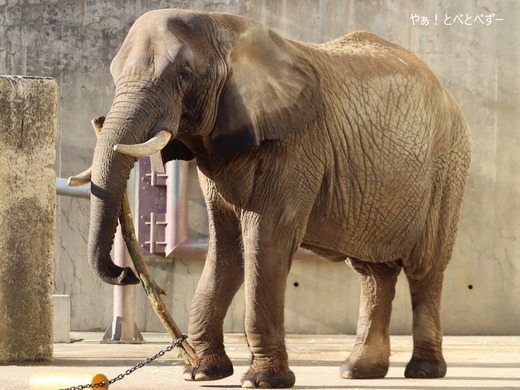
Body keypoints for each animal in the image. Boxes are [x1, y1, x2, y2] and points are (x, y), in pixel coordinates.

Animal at [74, 7, 472, 388]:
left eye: (185, 74)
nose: (126, 273)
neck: (227, 28)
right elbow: (227, 246)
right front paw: (200, 374)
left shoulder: (297, 144)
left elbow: (265, 240)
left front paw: (262, 381)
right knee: (374, 274)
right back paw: (357, 371)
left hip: (447, 171)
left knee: (425, 268)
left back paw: (422, 371)